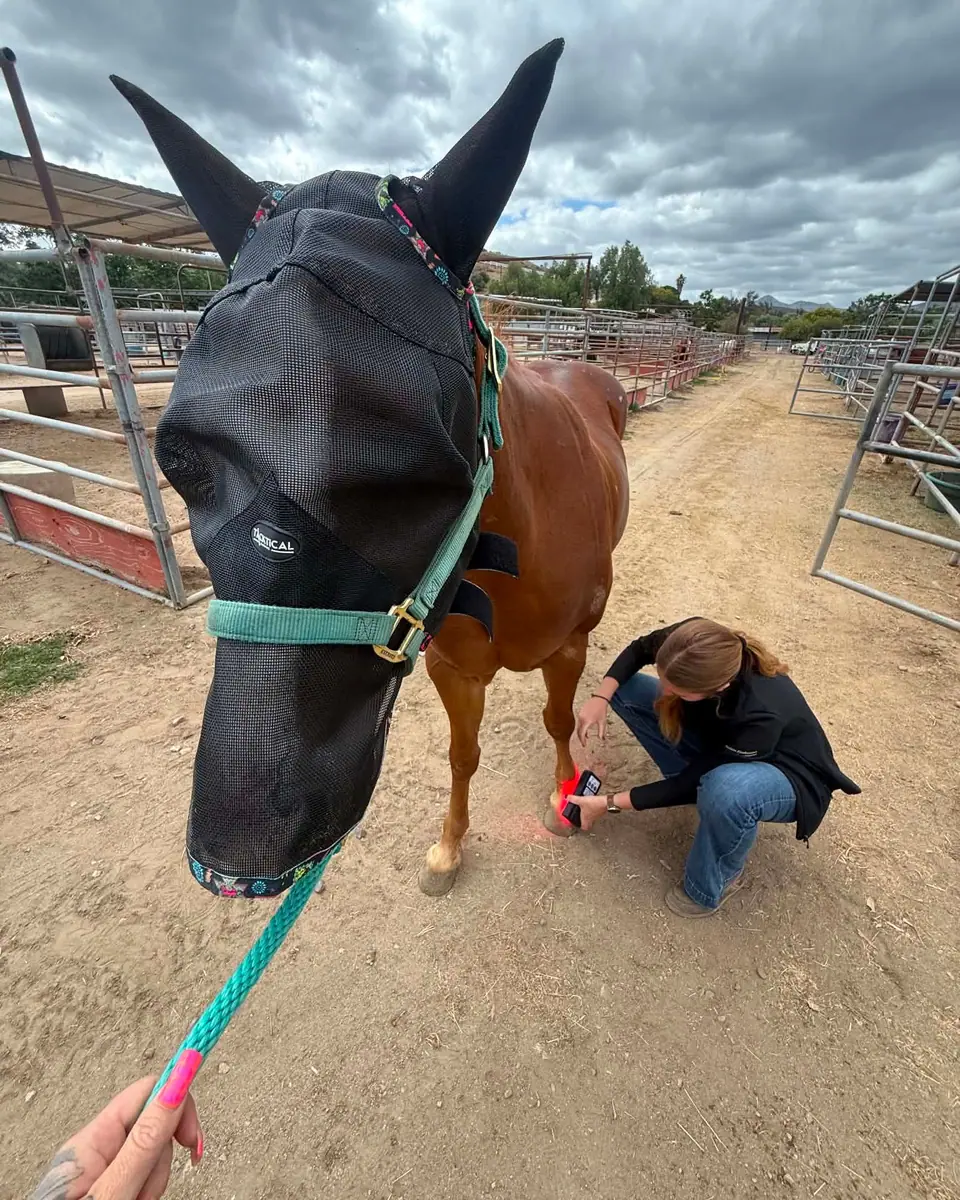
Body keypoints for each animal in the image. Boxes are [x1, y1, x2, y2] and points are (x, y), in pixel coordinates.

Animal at [113, 38, 629, 901]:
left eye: (414, 483)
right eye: (182, 463)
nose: (241, 846)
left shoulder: (566, 650)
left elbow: (560, 721)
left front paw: (567, 793)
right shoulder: (453, 667)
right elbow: (462, 755)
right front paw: (449, 847)